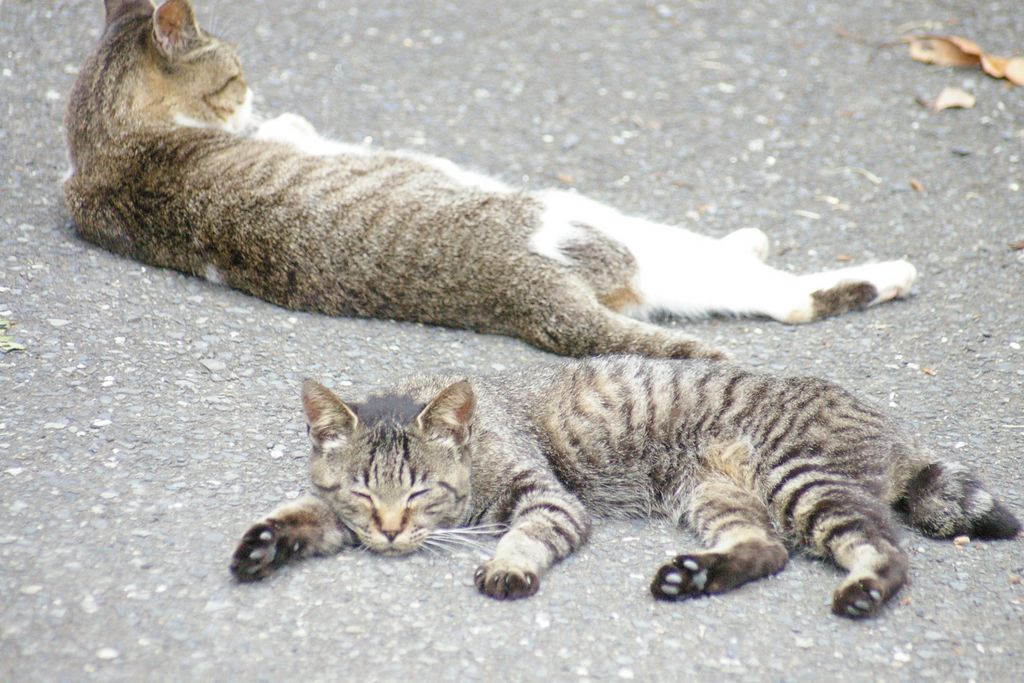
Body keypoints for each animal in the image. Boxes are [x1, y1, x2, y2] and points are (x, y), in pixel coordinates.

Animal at [66, 0, 921, 360]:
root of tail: (520, 296)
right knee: (782, 296)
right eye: (237, 74)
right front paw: (280, 122)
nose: (256, 95)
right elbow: (291, 135)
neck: (105, 147)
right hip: (590, 223)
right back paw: (872, 269)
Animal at [228, 358, 1019, 618]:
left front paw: (508, 563)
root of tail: (886, 421)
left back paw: (863, 589)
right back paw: (695, 574)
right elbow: (307, 512)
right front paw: (267, 540)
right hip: (715, 497)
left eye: (421, 492)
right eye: (366, 494)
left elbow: (528, 532)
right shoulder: (341, 513)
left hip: (801, 479)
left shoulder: (550, 498)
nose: (392, 529)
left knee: (885, 549)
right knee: (767, 549)